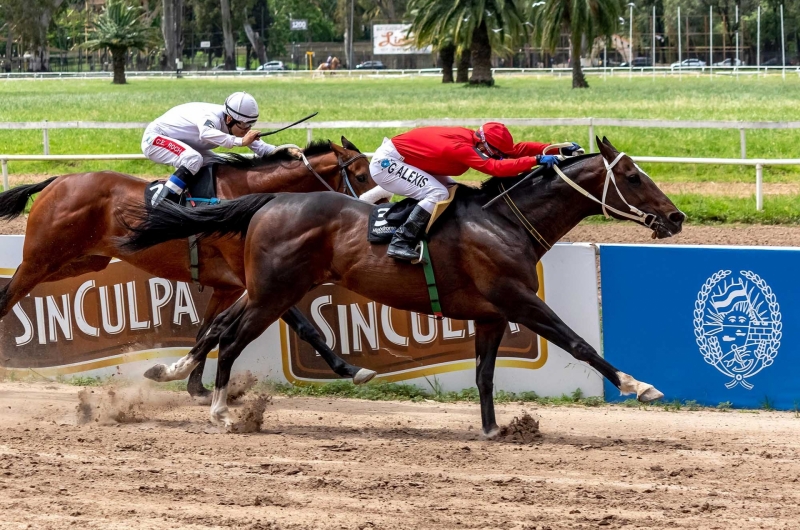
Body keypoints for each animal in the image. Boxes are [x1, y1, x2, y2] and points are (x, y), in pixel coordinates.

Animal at [0, 138, 380, 394]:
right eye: (362, 176)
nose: (374, 215)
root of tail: (56, 181)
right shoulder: (258, 281)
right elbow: (306, 327)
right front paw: (350, 368)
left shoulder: (228, 286)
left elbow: (207, 331)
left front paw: (194, 384)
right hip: (41, 258)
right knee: (8, 296)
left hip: (80, 262)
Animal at [122, 137, 684, 434]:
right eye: (633, 177)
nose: (676, 218)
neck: (504, 223)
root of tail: (271, 201)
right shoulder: (518, 300)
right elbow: (579, 343)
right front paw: (639, 385)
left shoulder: (491, 314)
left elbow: (484, 374)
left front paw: (492, 429)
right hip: (273, 292)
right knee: (234, 337)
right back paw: (220, 408)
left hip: (266, 290)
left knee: (220, 325)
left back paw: (176, 373)